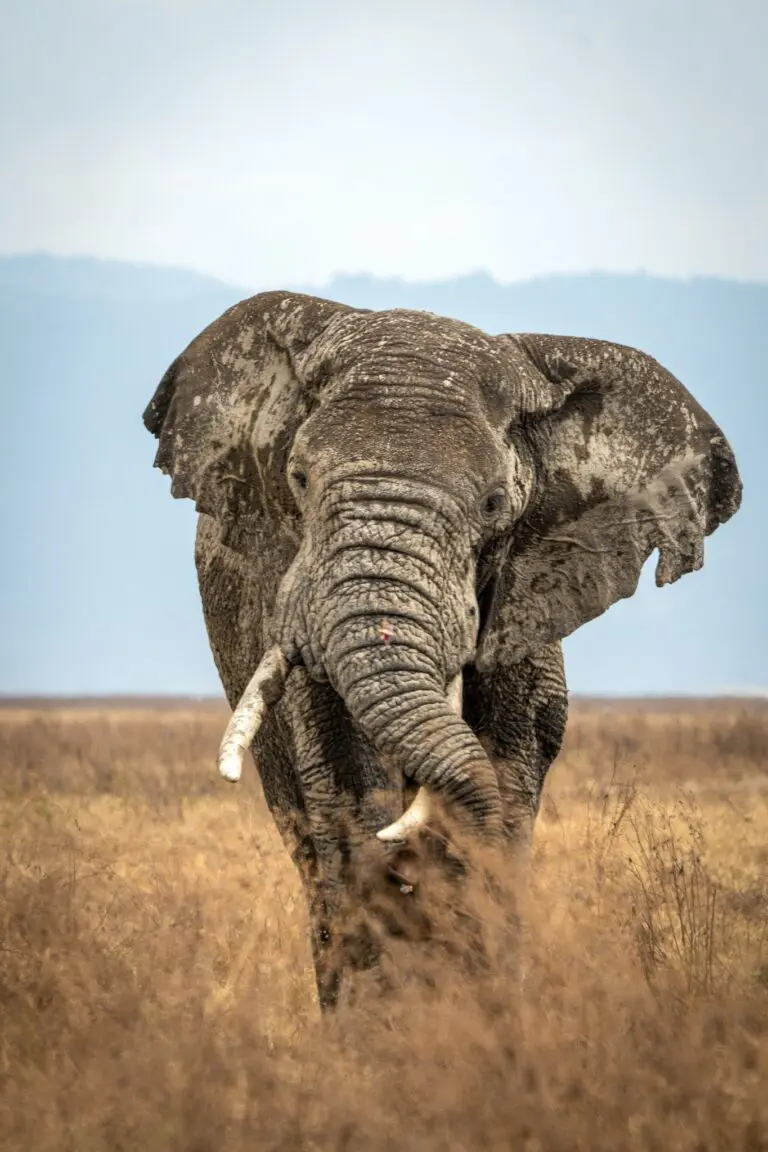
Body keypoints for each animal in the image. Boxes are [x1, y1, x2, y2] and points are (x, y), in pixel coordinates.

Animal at [143, 291, 742, 1009]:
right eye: (299, 479)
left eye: (494, 504)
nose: (406, 860)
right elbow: (344, 775)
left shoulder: (525, 600)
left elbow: (509, 767)